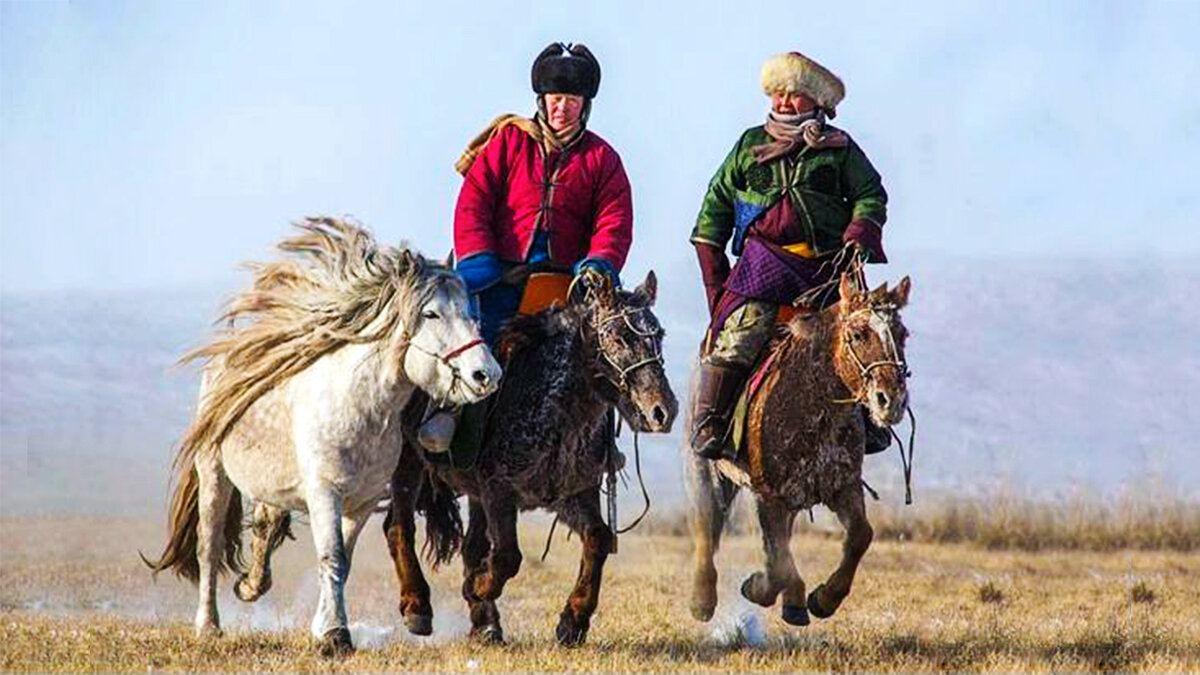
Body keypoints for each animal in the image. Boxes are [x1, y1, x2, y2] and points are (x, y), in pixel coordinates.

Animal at [145, 216, 501, 653]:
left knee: (264, 523)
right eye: (431, 314)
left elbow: (343, 562)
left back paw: (250, 585)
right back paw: (209, 625)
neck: (361, 405)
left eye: (470, 312)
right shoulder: (324, 493)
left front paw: (324, 628)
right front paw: (335, 636)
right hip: (215, 474)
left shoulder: (362, 502)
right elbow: (331, 556)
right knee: (208, 547)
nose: (485, 375)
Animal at [386, 270, 681, 643]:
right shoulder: (498, 492)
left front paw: (573, 620)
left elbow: (598, 538)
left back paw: (484, 624)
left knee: (469, 544)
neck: (555, 405)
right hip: (407, 460)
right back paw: (418, 606)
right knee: (399, 527)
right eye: (618, 337)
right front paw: (478, 588)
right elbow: (507, 557)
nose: (662, 411)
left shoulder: (574, 492)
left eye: (659, 336)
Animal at [686, 271, 907, 624]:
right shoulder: (769, 494)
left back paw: (793, 601)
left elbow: (860, 535)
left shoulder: (842, 486)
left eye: (902, 334)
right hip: (704, 467)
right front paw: (758, 588)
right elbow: (778, 562)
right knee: (707, 524)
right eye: (858, 334)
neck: (814, 405)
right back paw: (703, 599)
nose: (891, 400)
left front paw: (824, 599)